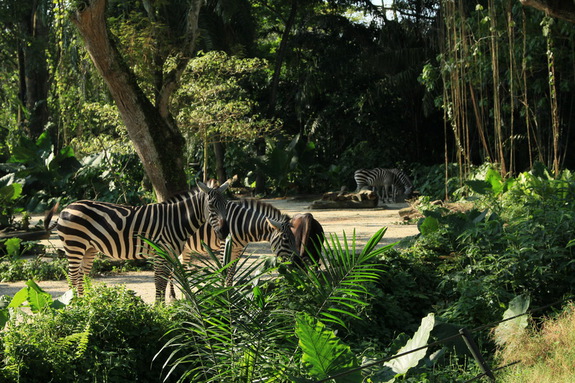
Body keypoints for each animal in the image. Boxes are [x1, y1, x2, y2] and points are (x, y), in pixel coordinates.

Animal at [45, 181, 232, 304]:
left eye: (226, 205)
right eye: (211, 206)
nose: (225, 232)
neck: (176, 220)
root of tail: (66, 208)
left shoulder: (170, 253)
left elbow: (167, 279)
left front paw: (164, 305)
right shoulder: (160, 252)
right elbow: (159, 280)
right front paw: (159, 307)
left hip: (89, 248)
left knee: (81, 276)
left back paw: (85, 304)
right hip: (74, 245)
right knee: (73, 276)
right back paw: (76, 305)